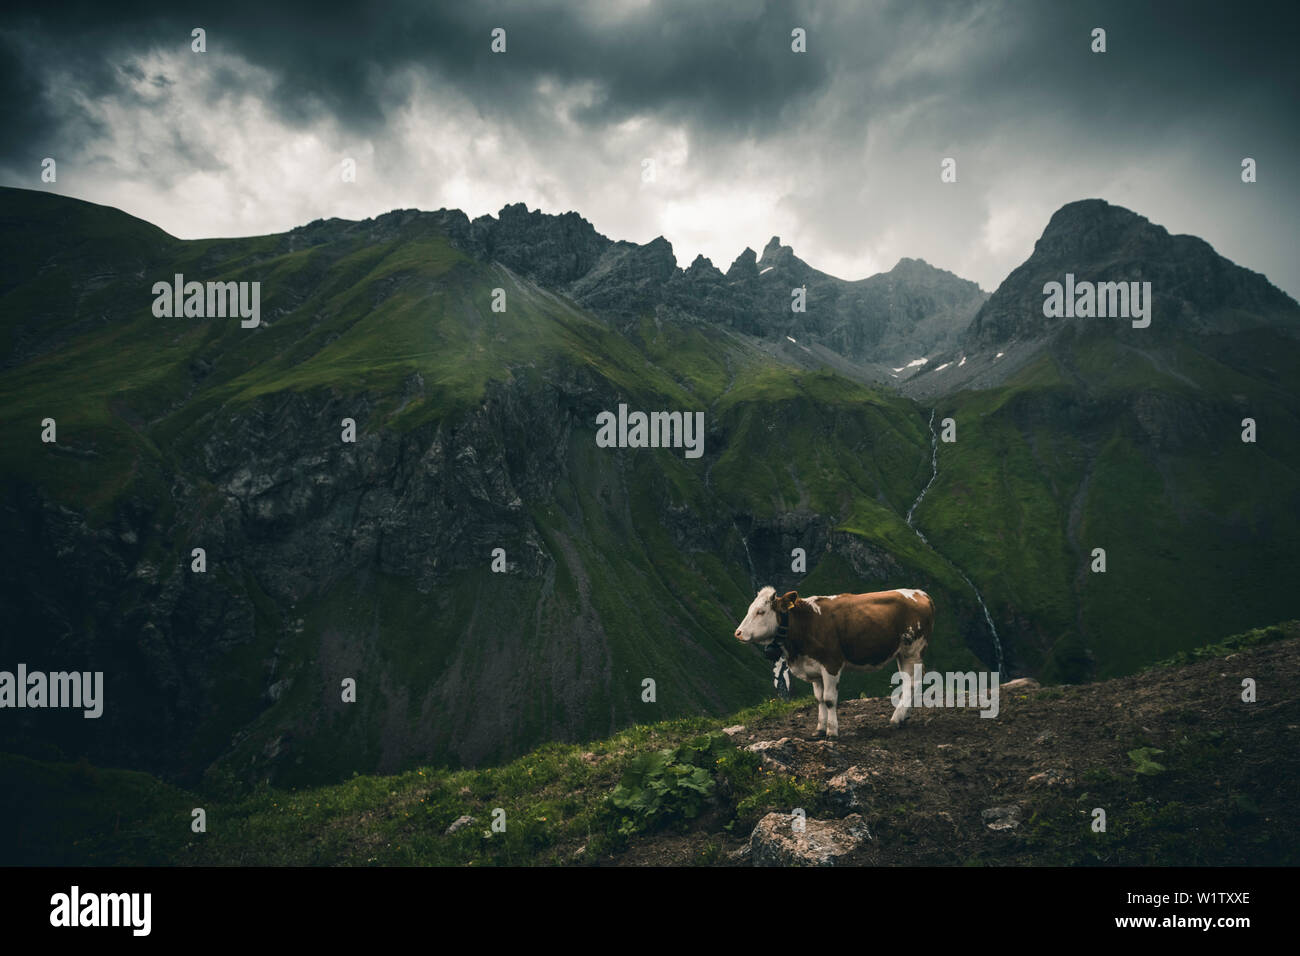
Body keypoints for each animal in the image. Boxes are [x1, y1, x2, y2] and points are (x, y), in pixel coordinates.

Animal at [733, 587, 935, 738]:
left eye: (761, 612)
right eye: (750, 609)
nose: (738, 633)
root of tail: (921, 593)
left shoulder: (831, 663)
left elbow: (829, 699)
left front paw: (832, 731)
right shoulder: (813, 669)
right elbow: (819, 699)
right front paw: (819, 729)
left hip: (913, 650)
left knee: (913, 682)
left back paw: (897, 718)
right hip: (902, 653)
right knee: (909, 681)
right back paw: (904, 716)